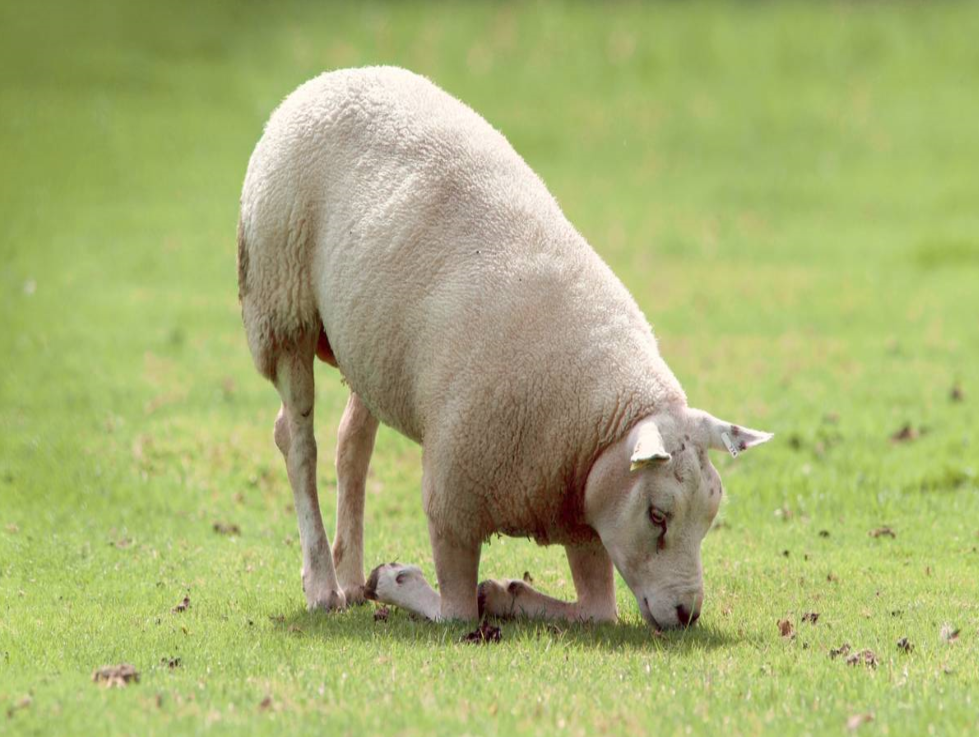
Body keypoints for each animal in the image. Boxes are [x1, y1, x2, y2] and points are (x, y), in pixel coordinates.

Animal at [237, 66, 773, 629]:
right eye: (657, 515)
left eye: (710, 515)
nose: (687, 612)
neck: (597, 425)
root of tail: (334, 76)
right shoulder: (452, 499)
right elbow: (455, 612)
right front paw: (397, 580)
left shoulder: (584, 513)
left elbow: (596, 610)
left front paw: (503, 592)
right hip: (281, 304)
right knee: (298, 442)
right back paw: (324, 585)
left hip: (372, 346)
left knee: (351, 446)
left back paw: (351, 573)